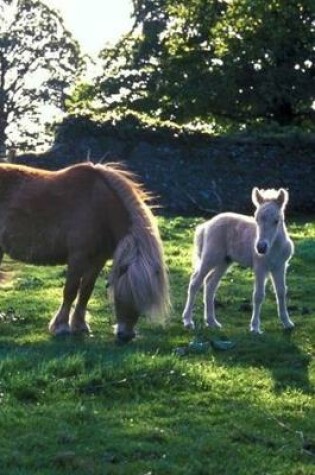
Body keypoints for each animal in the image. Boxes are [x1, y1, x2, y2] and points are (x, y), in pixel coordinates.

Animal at [0, 163, 170, 342]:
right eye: (125, 293)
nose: (126, 336)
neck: (100, 207)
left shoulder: (98, 260)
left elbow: (86, 291)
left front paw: (80, 325)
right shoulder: (77, 258)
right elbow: (70, 291)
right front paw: (61, 327)